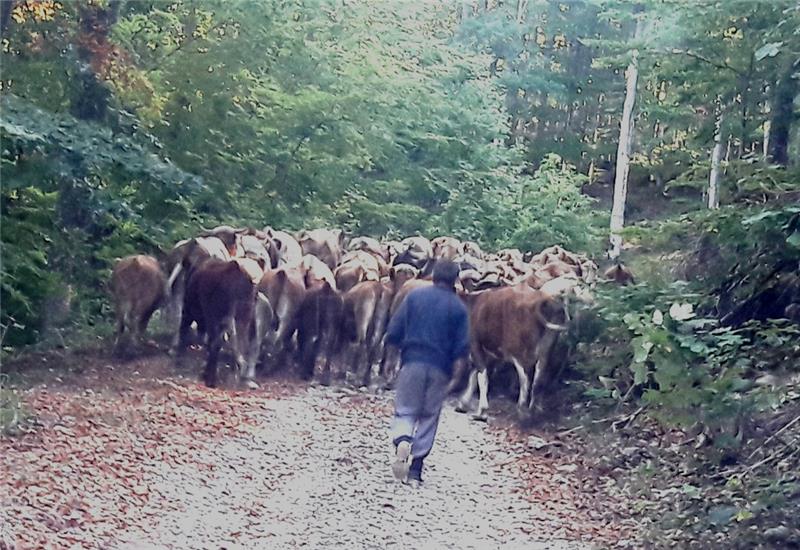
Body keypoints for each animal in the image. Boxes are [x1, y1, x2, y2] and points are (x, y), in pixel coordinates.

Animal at [456, 286, 568, 420]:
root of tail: (545, 301)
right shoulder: (493, 354)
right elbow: (475, 376)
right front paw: (463, 403)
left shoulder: (475, 344)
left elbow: (481, 377)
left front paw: (481, 411)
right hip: (546, 352)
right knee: (539, 380)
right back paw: (535, 411)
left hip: (521, 352)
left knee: (526, 380)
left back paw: (522, 412)